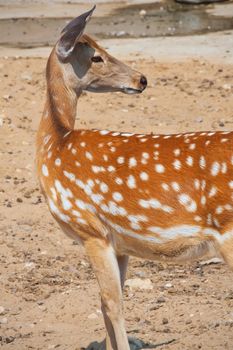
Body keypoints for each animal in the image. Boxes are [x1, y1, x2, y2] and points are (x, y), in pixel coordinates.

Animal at [36, 5, 233, 350]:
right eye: (96, 56)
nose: (141, 79)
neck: (55, 143)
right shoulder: (119, 242)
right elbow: (109, 304)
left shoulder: (90, 229)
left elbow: (112, 303)